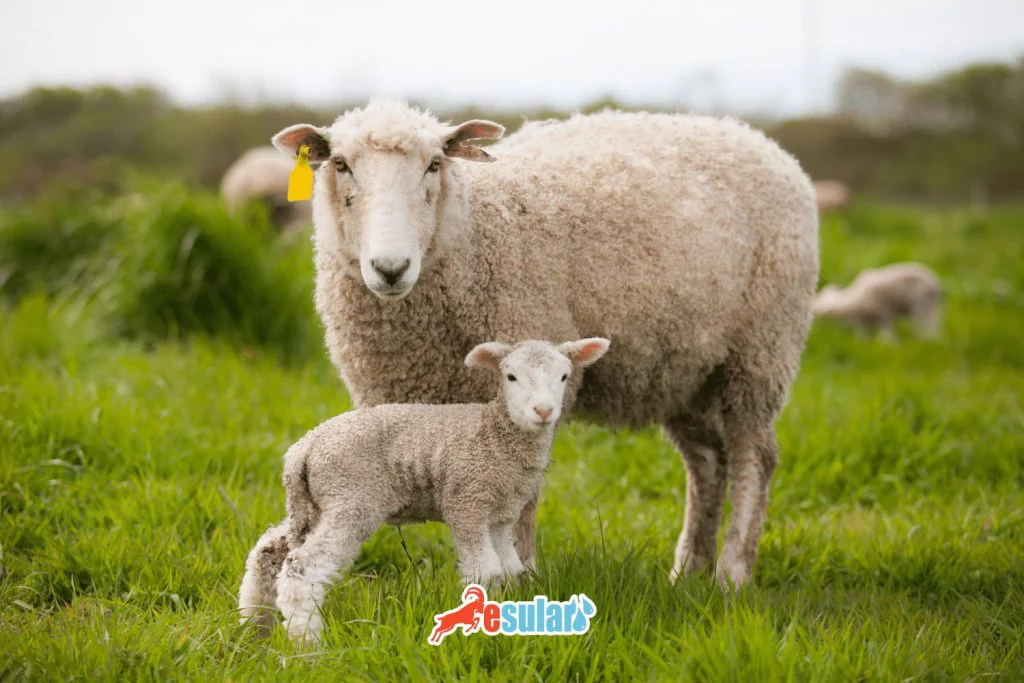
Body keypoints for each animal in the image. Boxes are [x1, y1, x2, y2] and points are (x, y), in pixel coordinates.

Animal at [238, 337, 611, 645]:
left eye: (564, 376)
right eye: (511, 377)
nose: (543, 411)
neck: (495, 434)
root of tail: (303, 449)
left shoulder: (501, 514)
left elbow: (509, 569)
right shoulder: (466, 501)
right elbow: (485, 572)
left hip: (312, 507)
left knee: (267, 552)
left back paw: (255, 627)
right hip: (351, 499)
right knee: (301, 569)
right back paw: (308, 645)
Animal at [270, 98, 820, 589]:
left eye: (434, 165)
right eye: (340, 164)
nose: (390, 268)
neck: (472, 235)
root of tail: (761, 141)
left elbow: (521, 502)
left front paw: (522, 578)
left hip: (762, 347)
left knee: (754, 456)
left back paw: (731, 576)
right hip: (681, 366)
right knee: (707, 460)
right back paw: (688, 572)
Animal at [812, 262, 942, 338]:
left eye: (818, 315)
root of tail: (934, 282)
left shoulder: (884, 313)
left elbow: (888, 334)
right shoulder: (863, 321)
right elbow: (862, 337)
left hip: (922, 305)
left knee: (927, 326)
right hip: (933, 306)